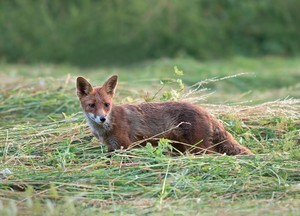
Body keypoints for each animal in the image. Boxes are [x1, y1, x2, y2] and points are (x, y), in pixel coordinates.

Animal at [76, 75, 252, 154]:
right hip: (180, 147)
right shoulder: (112, 149)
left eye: (106, 105)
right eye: (92, 105)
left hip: (198, 148)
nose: (102, 118)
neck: (106, 129)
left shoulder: (125, 147)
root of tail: (205, 110)